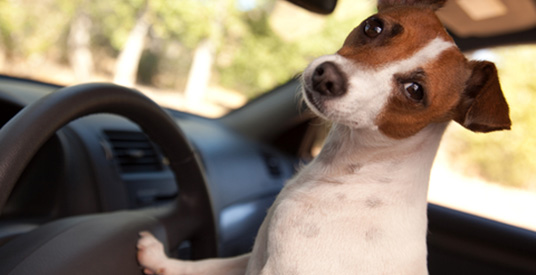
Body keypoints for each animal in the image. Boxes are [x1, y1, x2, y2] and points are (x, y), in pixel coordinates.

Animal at [135, 0, 510, 274]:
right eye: (373, 26)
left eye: (415, 91)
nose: (327, 76)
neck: (353, 174)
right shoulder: (253, 256)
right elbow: (206, 265)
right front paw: (160, 259)